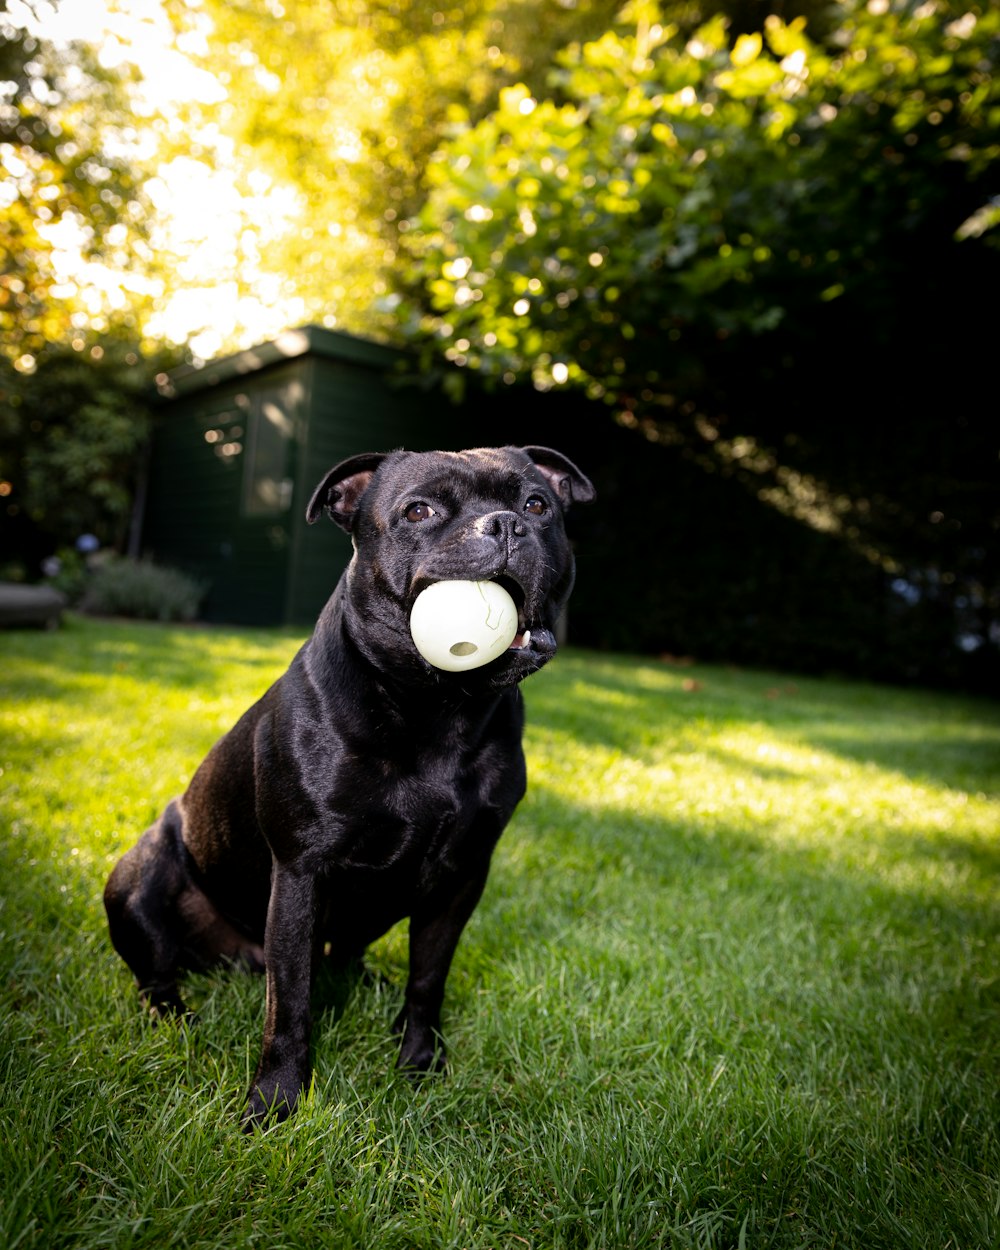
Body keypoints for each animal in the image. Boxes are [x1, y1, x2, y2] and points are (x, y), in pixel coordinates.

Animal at [107, 445, 595, 1130]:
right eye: (418, 511)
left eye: (536, 504)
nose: (503, 525)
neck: (438, 710)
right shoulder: (301, 873)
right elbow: (289, 1005)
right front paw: (276, 1102)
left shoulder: (461, 879)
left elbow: (428, 978)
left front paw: (420, 1062)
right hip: (137, 883)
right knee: (158, 974)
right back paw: (180, 1021)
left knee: (345, 957)